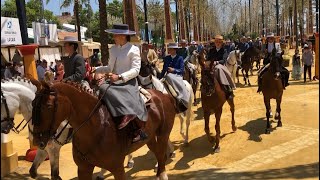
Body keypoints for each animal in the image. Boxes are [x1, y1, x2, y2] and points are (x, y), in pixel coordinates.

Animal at [31, 81, 178, 179]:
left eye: (48, 106)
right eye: (33, 103)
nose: (37, 140)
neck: (96, 128)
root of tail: (163, 95)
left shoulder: (117, 169)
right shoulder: (83, 169)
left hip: (163, 134)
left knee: (161, 154)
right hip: (150, 138)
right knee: (158, 153)